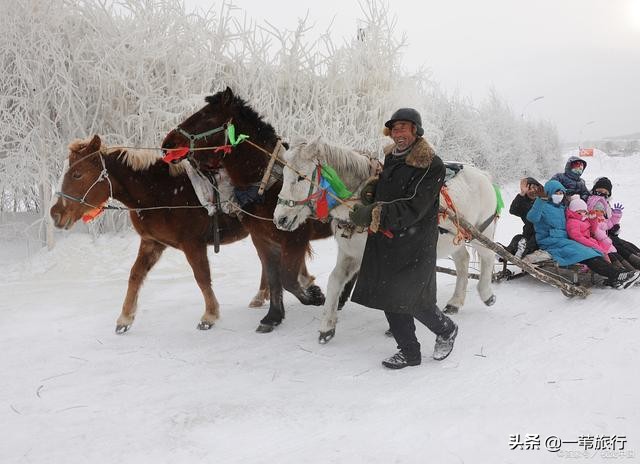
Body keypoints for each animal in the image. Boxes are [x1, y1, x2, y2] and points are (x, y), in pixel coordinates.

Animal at [161, 88, 336, 334]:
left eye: (207, 117)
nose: (168, 143)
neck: (266, 184)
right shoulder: (262, 238)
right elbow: (274, 277)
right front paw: (273, 316)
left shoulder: (295, 237)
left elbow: (288, 278)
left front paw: (315, 295)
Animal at [272, 136, 498, 342]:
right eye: (283, 174)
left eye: (301, 177)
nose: (279, 219)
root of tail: (483, 174)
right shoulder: (350, 254)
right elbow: (335, 281)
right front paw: (327, 326)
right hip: (454, 239)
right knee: (463, 261)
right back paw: (455, 302)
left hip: (480, 232)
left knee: (488, 256)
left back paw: (486, 293)